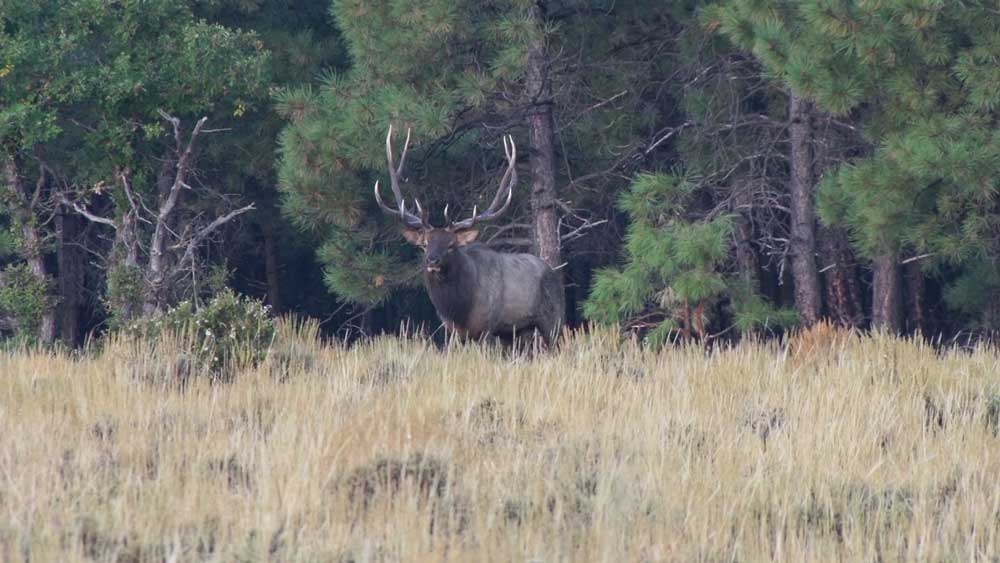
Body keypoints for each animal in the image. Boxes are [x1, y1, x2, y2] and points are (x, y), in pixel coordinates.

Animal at [374, 126, 564, 347]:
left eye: (451, 245)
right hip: (516, 330)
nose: (432, 260)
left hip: (554, 318)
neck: (459, 309)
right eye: (424, 244)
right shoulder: (455, 331)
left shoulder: (486, 327)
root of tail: (553, 271)